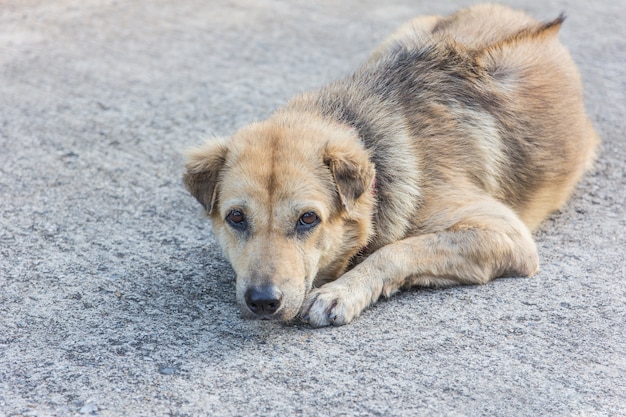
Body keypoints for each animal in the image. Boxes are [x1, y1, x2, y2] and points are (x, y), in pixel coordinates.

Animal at [183, 4, 596, 326]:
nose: (263, 301)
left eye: (308, 219)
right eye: (236, 217)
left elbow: (397, 250)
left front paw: (342, 291)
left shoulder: (506, 235)